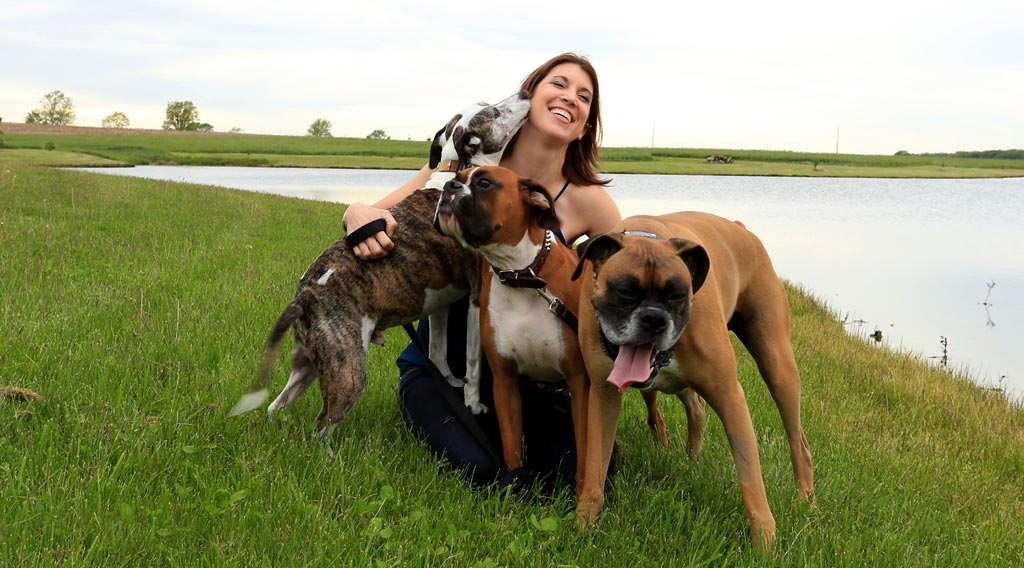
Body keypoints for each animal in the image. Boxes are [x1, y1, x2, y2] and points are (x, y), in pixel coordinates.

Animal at [231, 93, 532, 448]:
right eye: (493, 111)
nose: (524, 95)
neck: (457, 173)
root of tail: (303, 296)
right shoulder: (476, 298)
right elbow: (474, 362)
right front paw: (473, 403)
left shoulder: (440, 303)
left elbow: (438, 350)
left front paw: (448, 383)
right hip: (347, 372)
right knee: (321, 427)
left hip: (309, 364)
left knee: (276, 405)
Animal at [434, 165, 667, 493]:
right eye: (457, 176)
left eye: (484, 183)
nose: (449, 187)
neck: (522, 274)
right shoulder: (505, 382)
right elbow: (511, 446)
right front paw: (515, 484)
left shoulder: (580, 384)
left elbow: (583, 451)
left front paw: (581, 490)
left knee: (658, 409)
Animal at [569, 210, 815, 548]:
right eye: (626, 292)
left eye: (678, 295)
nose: (654, 319)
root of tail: (741, 228)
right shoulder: (604, 396)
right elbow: (595, 468)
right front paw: (583, 525)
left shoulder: (730, 396)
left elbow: (751, 478)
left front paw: (765, 542)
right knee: (695, 408)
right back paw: (691, 459)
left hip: (778, 366)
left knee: (798, 441)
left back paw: (806, 500)